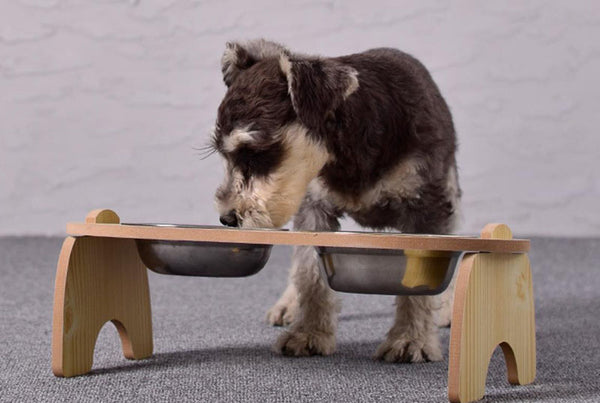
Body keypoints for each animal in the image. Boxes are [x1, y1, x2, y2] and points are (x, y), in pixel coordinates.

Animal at [210, 40, 460, 362]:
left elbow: (419, 285)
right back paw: (288, 304)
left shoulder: (425, 208)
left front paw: (410, 340)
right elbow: (310, 275)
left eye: (256, 154)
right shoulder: (314, 209)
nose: (227, 218)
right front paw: (309, 334)